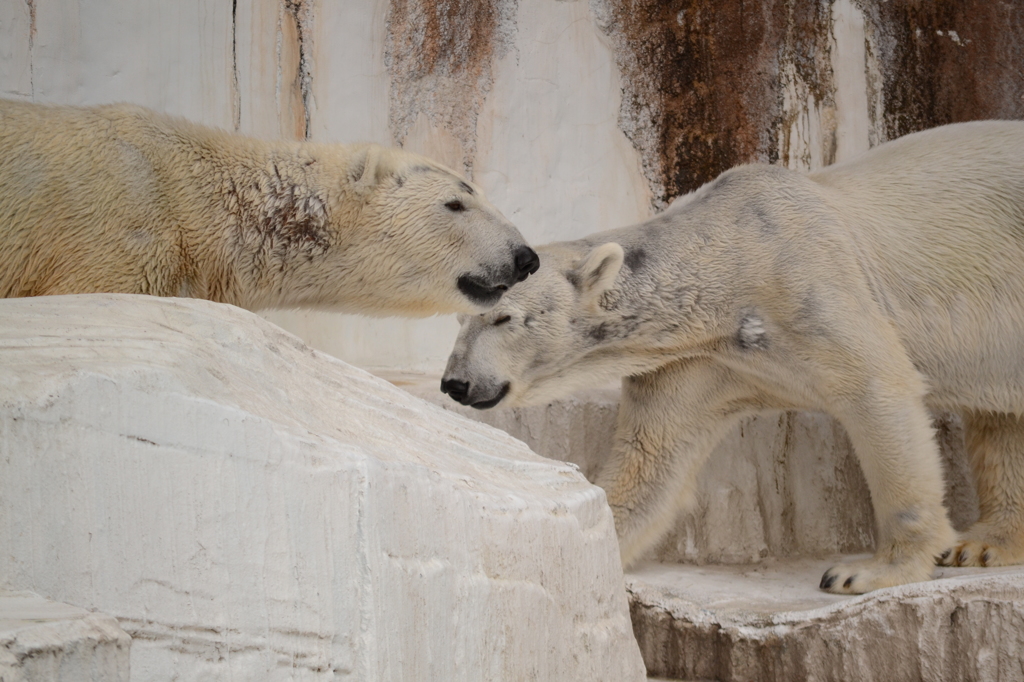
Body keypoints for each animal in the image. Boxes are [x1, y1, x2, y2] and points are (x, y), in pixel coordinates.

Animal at [440, 120, 1024, 589]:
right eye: (464, 317)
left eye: (504, 318)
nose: (455, 384)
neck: (729, 262)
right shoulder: (701, 359)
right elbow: (652, 458)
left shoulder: (809, 281)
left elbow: (877, 388)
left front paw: (867, 572)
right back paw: (986, 542)